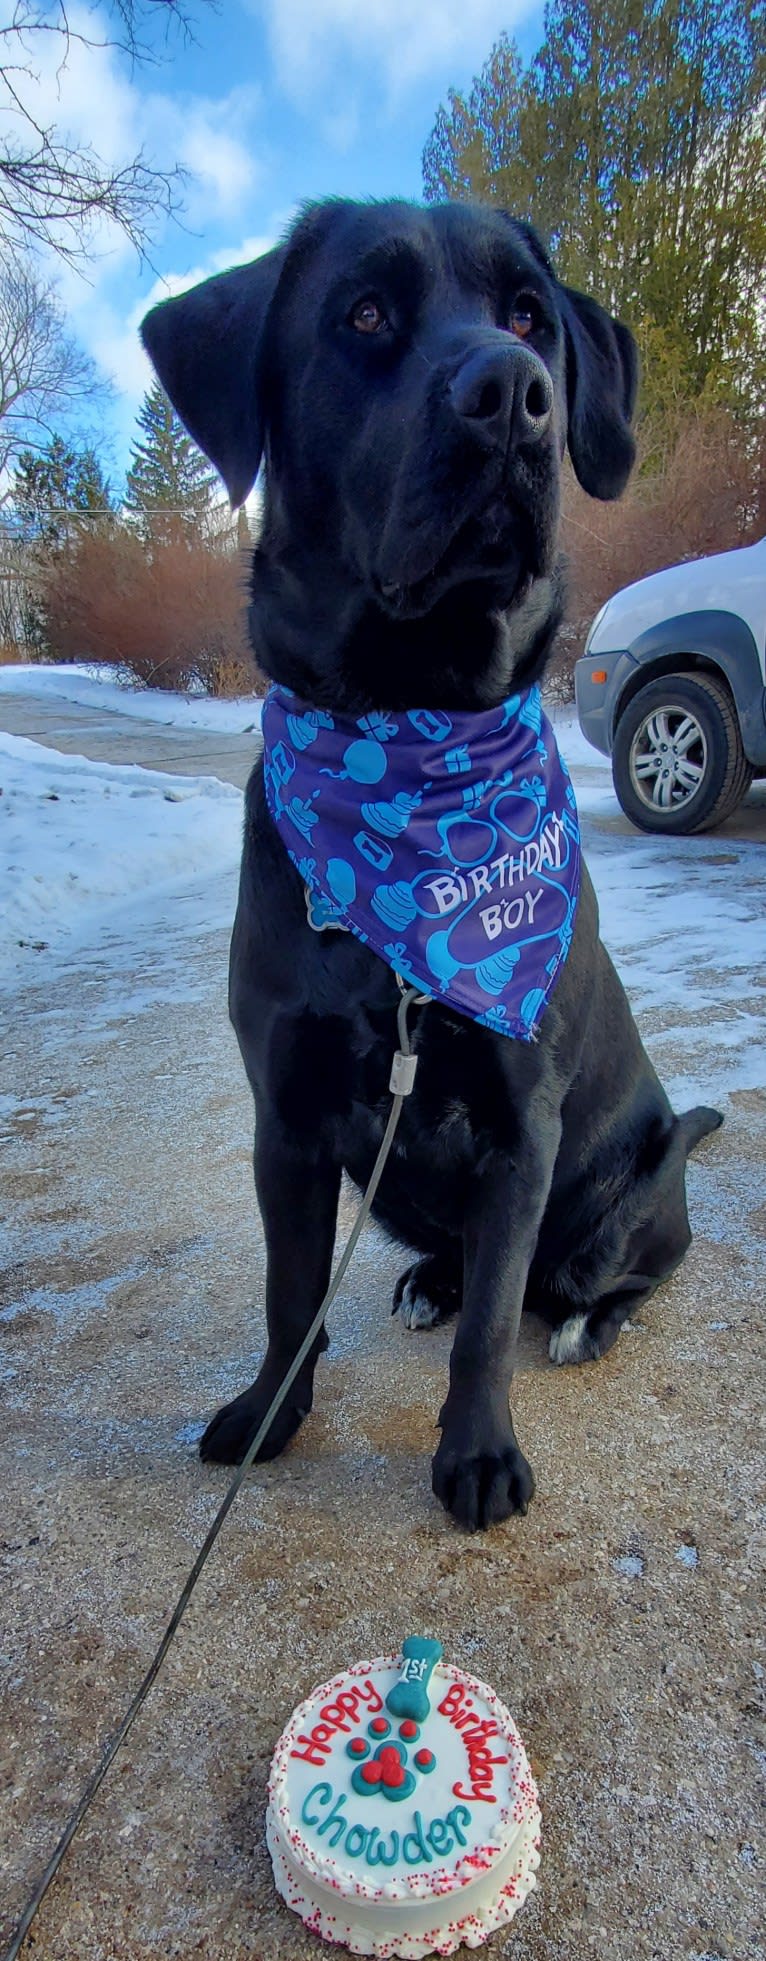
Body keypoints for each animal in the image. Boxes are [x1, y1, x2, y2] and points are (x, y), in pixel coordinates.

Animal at [143, 206, 724, 1537]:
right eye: (362, 313)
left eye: (527, 317)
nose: (514, 396)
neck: (411, 734)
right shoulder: (286, 1114)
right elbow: (288, 1288)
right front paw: (269, 1412)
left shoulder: (521, 1124)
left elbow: (492, 1332)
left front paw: (476, 1454)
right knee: (457, 1270)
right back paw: (426, 1282)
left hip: (623, 1198)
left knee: (595, 1282)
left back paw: (577, 1323)